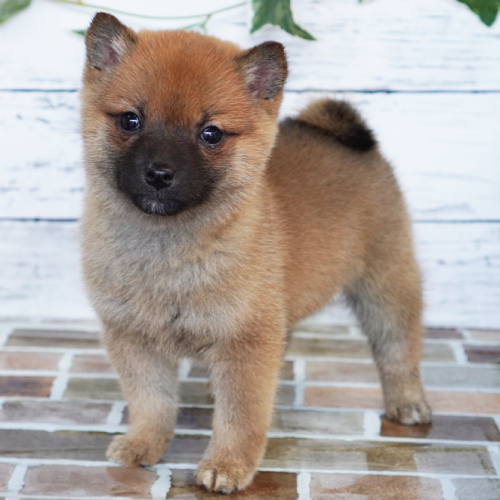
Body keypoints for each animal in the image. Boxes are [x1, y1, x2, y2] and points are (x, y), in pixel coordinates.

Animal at [81, 13, 430, 494]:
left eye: (210, 134)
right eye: (130, 121)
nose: (159, 173)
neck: (168, 247)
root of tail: (344, 134)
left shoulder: (246, 342)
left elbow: (242, 415)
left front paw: (227, 465)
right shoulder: (134, 338)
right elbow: (152, 403)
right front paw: (143, 444)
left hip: (385, 286)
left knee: (398, 348)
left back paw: (408, 402)